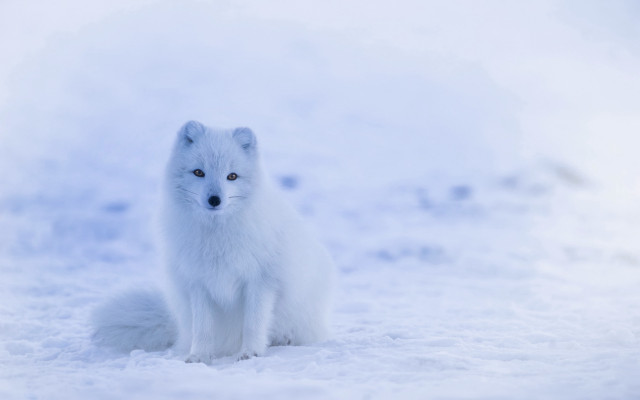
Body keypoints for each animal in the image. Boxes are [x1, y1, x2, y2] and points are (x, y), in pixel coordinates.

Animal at [92, 121, 335, 363]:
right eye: (199, 172)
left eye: (232, 176)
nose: (215, 200)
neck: (216, 235)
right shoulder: (198, 283)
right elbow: (203, 328)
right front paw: (199, 356)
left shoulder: (261, 281)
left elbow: (253, 323)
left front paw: (250, 352)